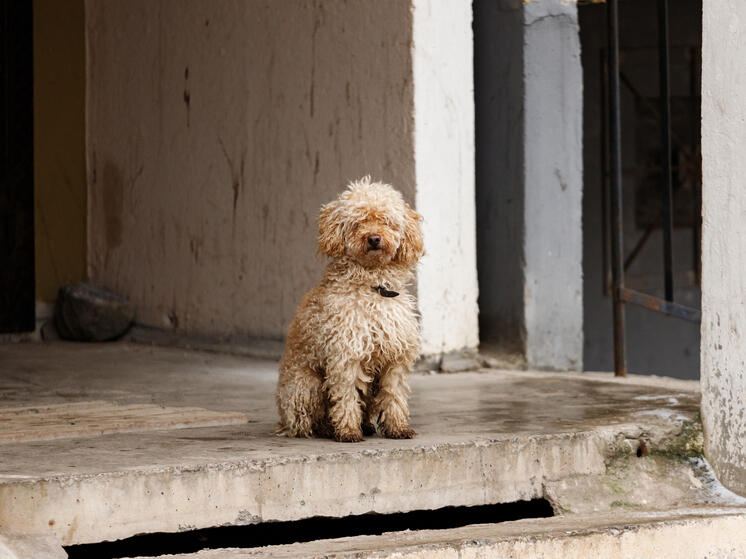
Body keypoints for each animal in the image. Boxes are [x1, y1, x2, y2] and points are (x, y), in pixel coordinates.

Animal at [274, 177, 424, 444]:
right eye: (358, 222)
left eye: (386, 220)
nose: (373, 238)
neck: (374, 287)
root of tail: (283, 420)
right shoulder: (346, 354)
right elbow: (346, 396)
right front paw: (348, 431)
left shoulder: (394, 359)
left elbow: (394, 395)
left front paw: (398, 428)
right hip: (306, 385)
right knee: (308, 421)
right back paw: (327, 428)